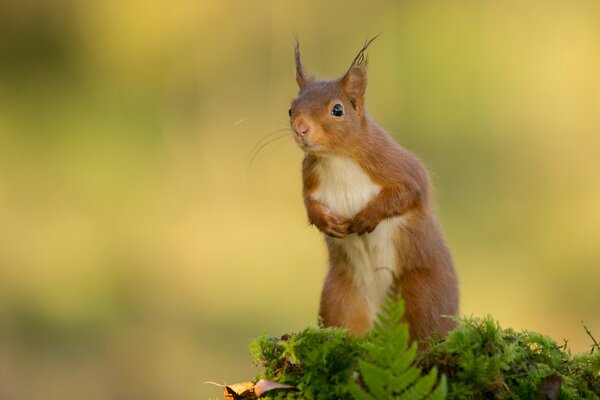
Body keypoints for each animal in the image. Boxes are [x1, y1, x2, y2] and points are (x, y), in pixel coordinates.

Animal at [288, 38, 458, 340]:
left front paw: (368, 217)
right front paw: (326, 222)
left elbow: (410, 192)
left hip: (423, 294)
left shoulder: (395, 165)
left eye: (337, 110)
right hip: (339, 298)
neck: (337, 158)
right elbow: (308, 204)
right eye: (290, 109)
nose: (300, 129)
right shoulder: (310, 178)